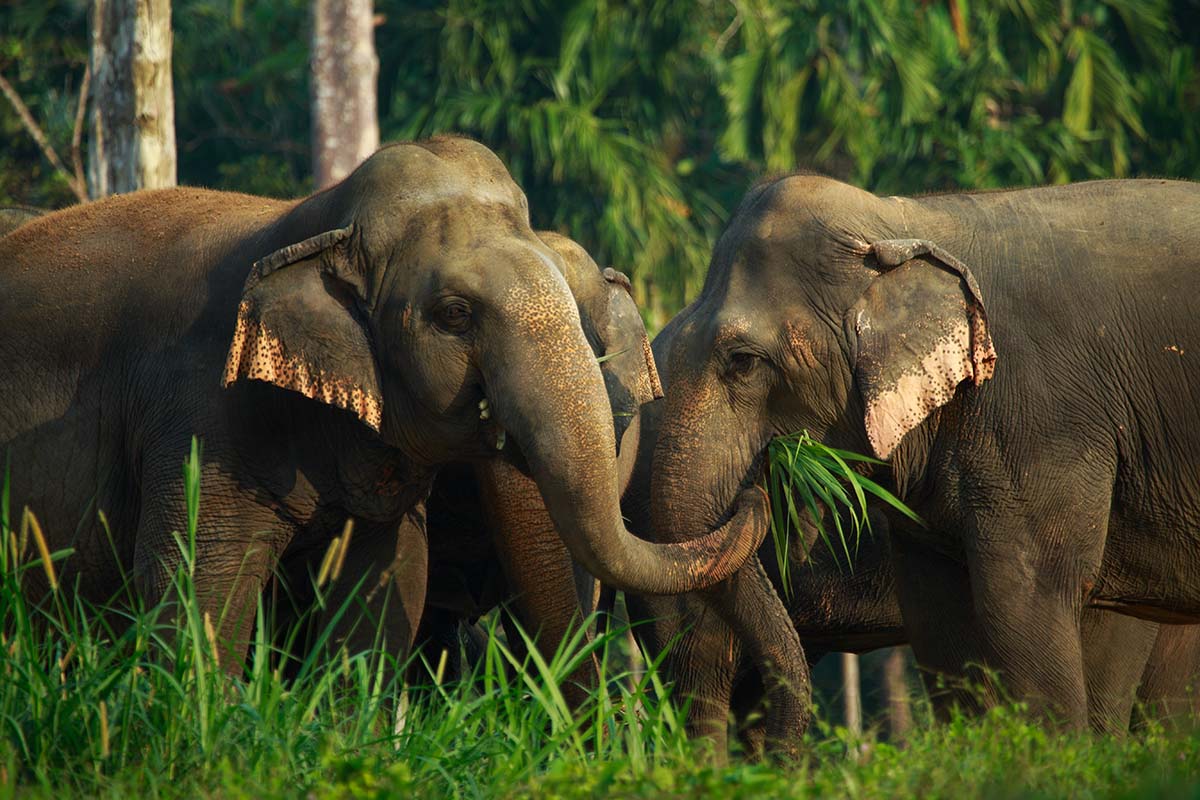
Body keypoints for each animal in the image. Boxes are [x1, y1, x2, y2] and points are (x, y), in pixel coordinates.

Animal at [0, 136, 767, 671]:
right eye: (454, 314)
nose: (756, 489)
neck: (313, 223)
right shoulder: (199, 411)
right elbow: (197, 578)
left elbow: (388, 578)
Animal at [645, 174, 1200, 738]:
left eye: (742, 362)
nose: (760, 485)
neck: (903, 223)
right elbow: (942, 617)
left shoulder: (1049, 416)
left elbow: (1033, 597)